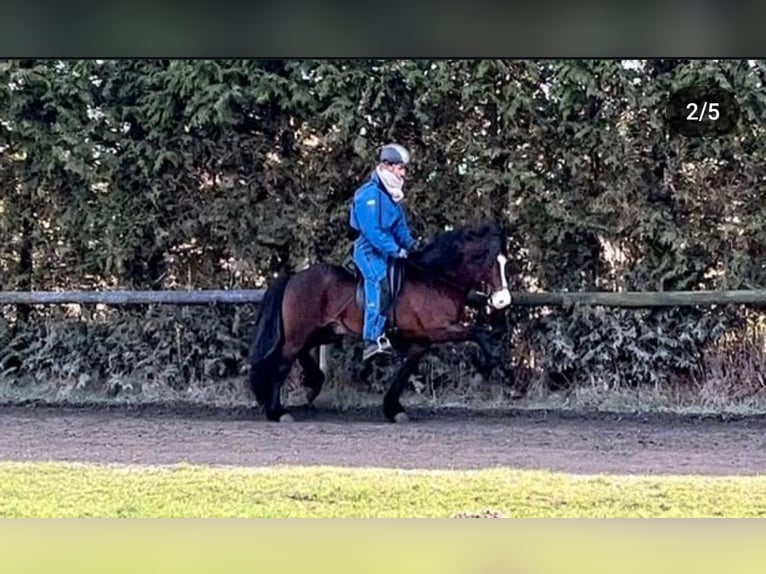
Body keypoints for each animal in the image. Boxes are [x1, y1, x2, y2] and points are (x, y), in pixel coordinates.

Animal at [249, 220, 520, 424]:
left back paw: (311, 385)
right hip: (302, 331)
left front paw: (394, 409)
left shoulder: (421, 340)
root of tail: (294, 277)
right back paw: (277, 411)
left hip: (325, 331)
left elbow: (405, 371)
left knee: (300, 353)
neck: (435, 279)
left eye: (505, 262)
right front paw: (496, 359)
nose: (502, 300)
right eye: (489, 261)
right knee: (284, 360)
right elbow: (477, 332)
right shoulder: (440, 329)